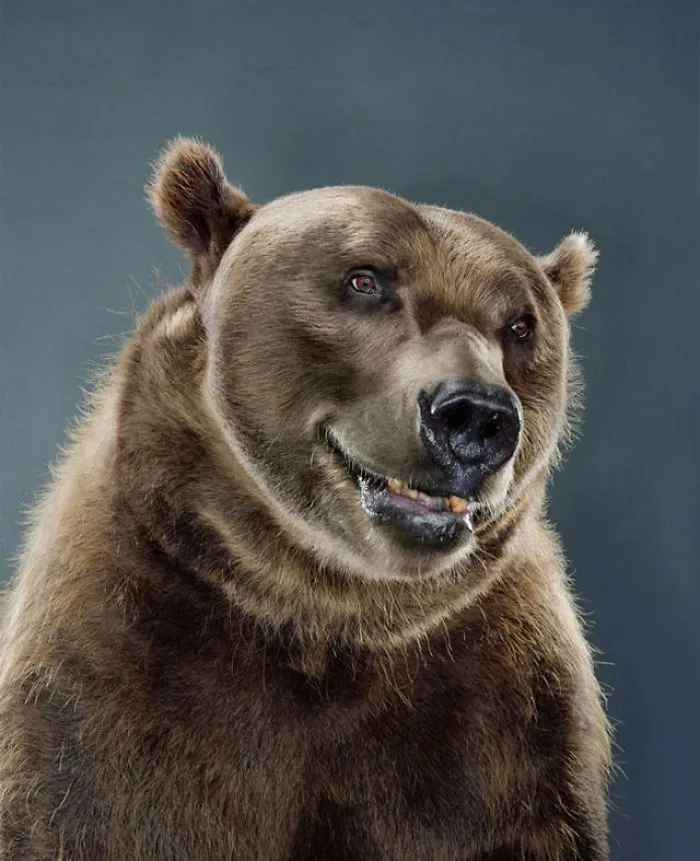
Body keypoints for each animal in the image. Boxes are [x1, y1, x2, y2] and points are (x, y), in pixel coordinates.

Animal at [0, 138, 610, 860]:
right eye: (365, 279)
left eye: (520, 324)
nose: (476, 415)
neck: (323, 607)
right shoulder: (104, 687)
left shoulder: (507, 728)